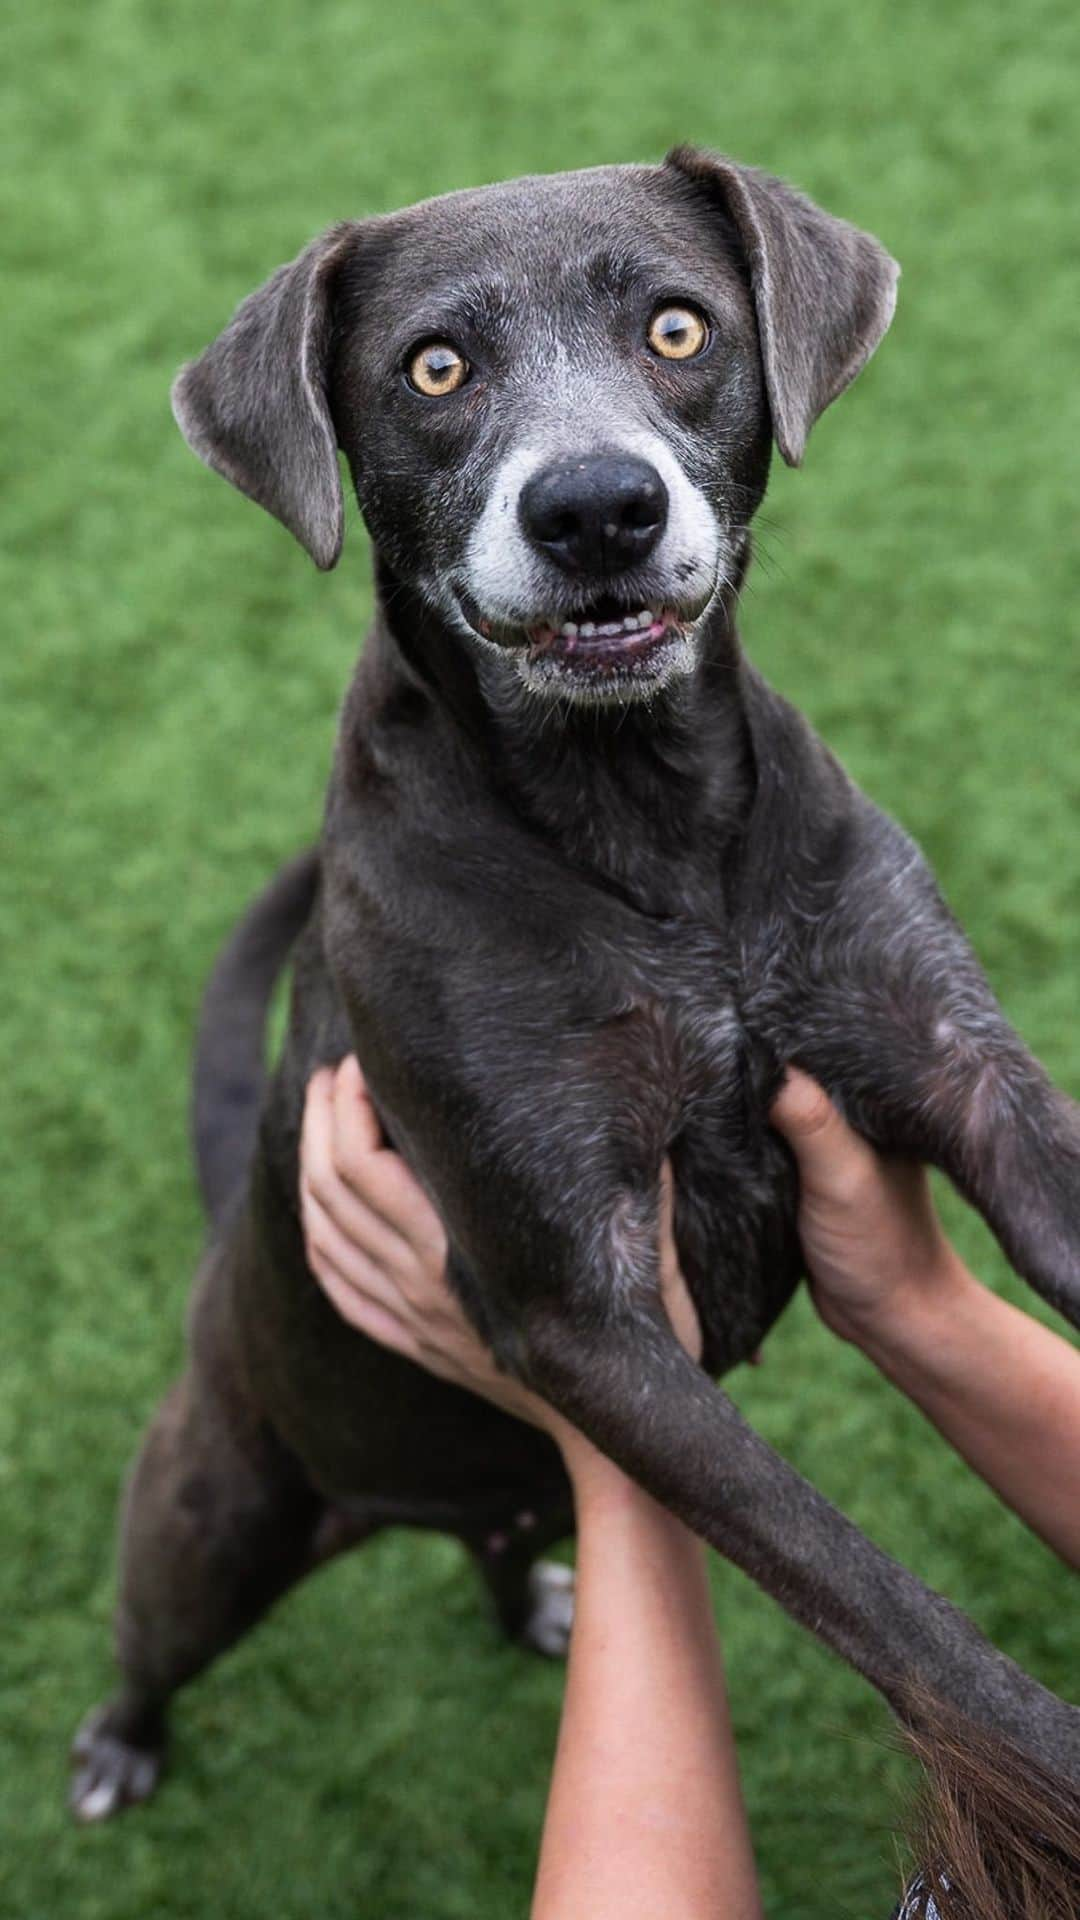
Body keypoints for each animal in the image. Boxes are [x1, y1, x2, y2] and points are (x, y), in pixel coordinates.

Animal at [71, 145, 1068, 1812]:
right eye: (434, 368)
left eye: (677, 329)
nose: (596, 506)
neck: (642, 815)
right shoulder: (577, 1298)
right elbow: (873, 1596)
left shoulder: (954, 1064)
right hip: (211, 1519)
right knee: (156, 1639)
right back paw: (120, 1749)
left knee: (498, 1543)